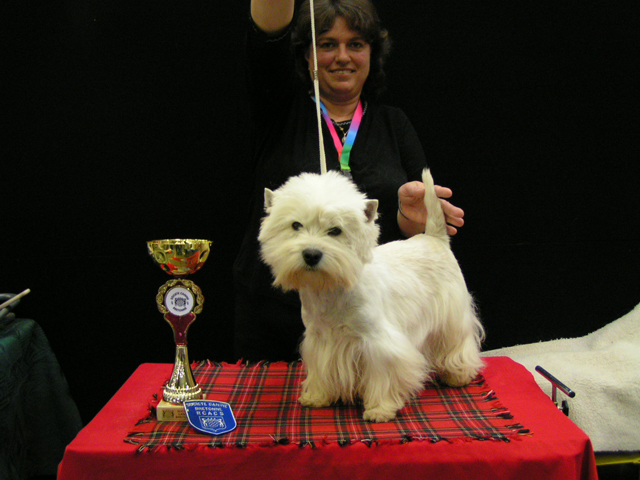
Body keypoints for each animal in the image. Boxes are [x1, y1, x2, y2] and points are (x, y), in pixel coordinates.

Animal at [258, 171, 482, 422]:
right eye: (296, 225)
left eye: (335, 230)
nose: (311, 254)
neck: (331, 289)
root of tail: (435, 238)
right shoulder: (319, 338)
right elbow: (320, 369)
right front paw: (317, 396)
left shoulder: (378, 341)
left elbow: (384, 374)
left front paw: (380, 409)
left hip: (452, 313)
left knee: (458, 341)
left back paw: (458, 374)